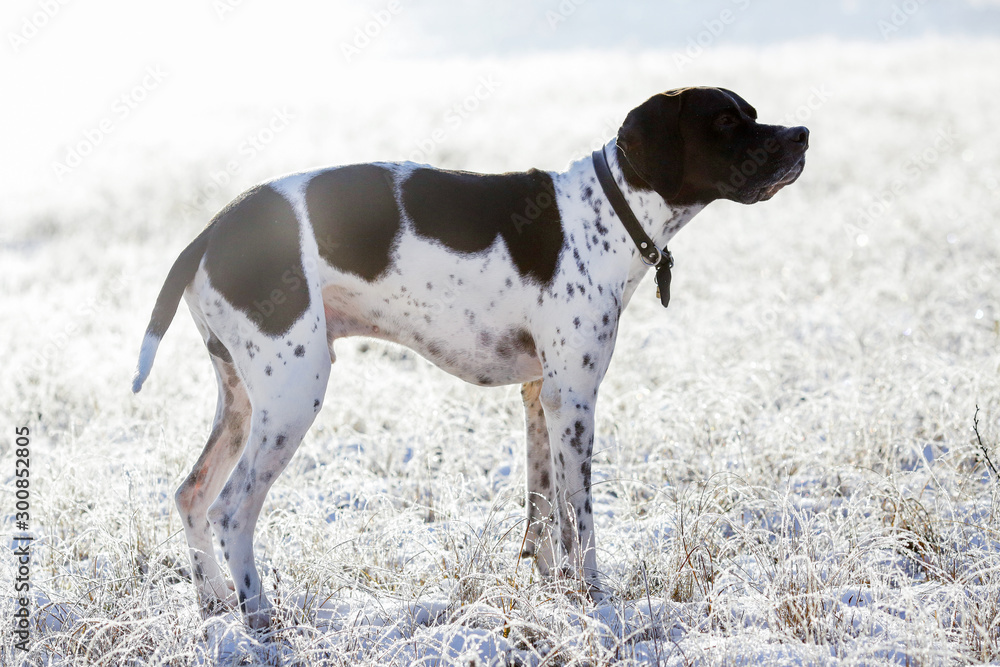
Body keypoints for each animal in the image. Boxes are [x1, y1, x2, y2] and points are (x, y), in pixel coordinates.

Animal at [133, 87, 808, 628]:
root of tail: (212, 230)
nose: (802, 134)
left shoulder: (541, 398)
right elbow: (582, 522)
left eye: (751, 113)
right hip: (294, 393)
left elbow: (543, 513)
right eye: (727, 120)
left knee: (192, 494)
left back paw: (213, 607)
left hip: (243, 402)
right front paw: (595, 603)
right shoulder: (574, 401)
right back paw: (259, 617)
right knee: (231, 509)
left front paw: (553, 596)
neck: (609, 212)